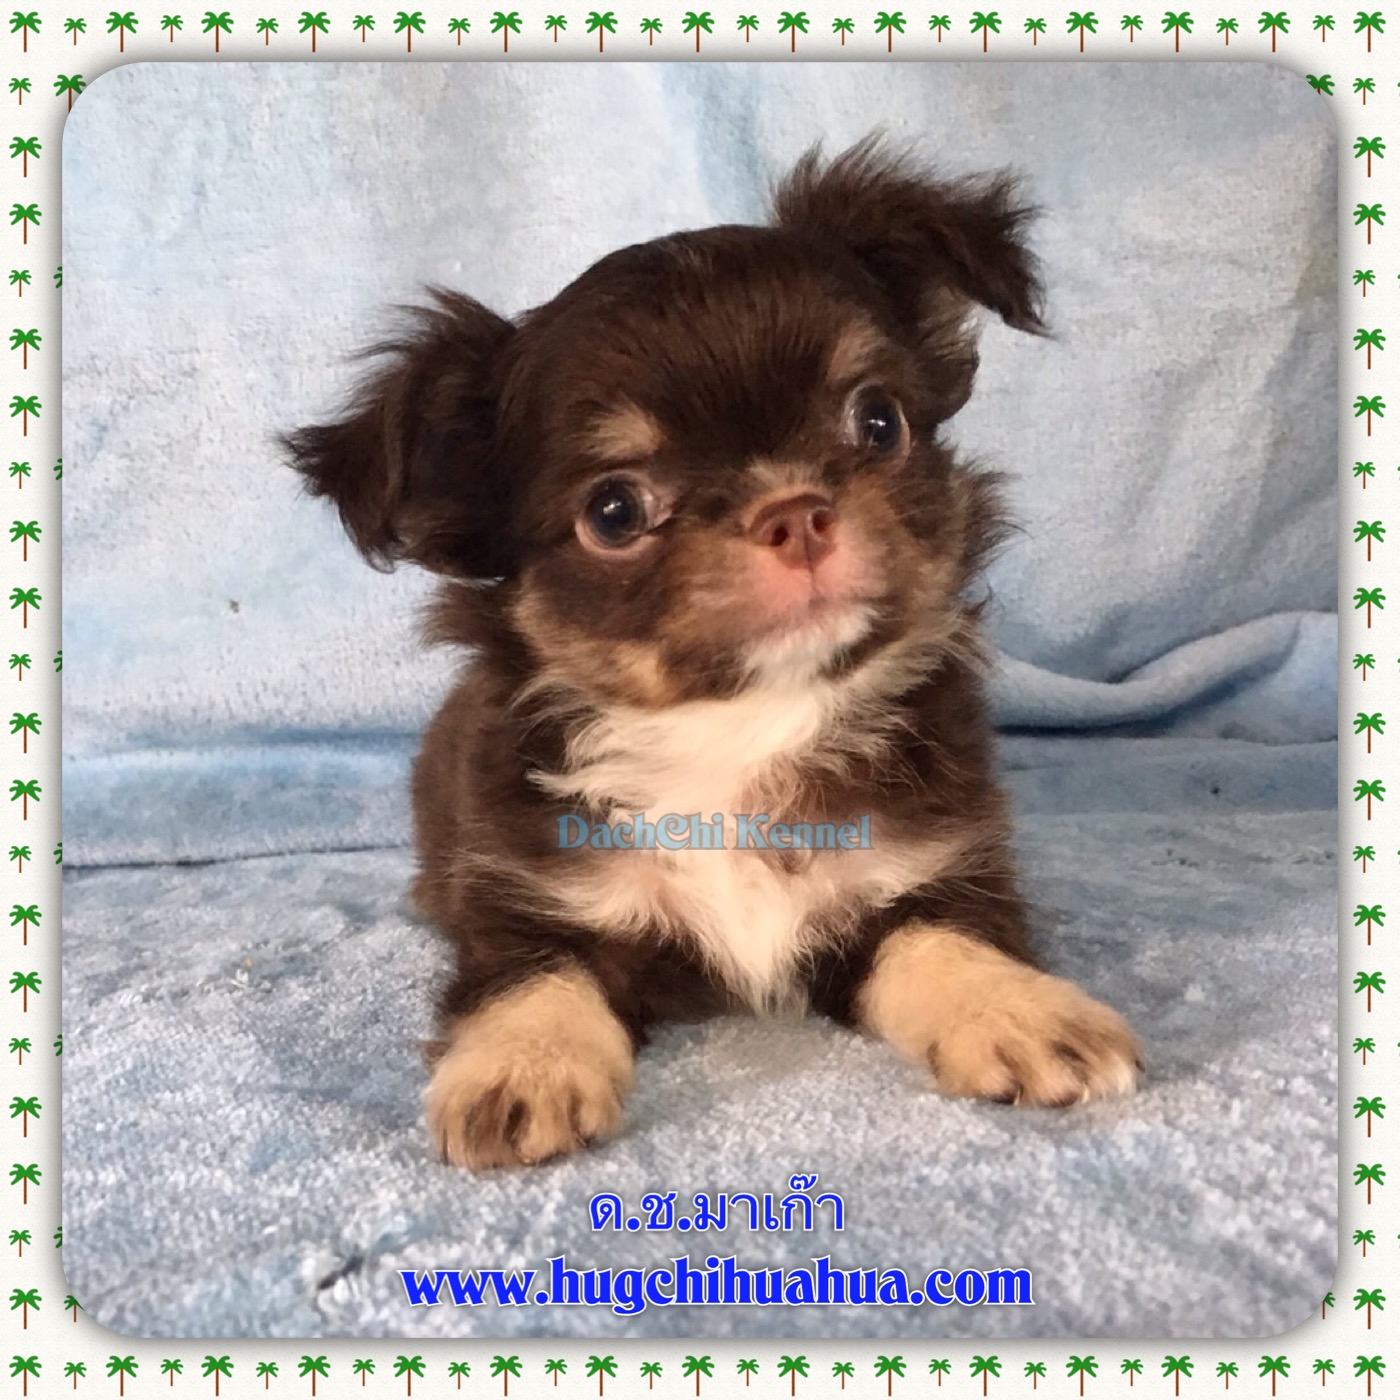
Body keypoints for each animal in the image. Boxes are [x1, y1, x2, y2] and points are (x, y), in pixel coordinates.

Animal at [285, 138, 1142, 1170]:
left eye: (879, 421)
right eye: (615, 511)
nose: (795, 511)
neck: (741, 728)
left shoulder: (922, 868)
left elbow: (947, 940)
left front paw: (1019, 1011)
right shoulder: (528, 898)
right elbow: (533, 979)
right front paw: (521, 1068)